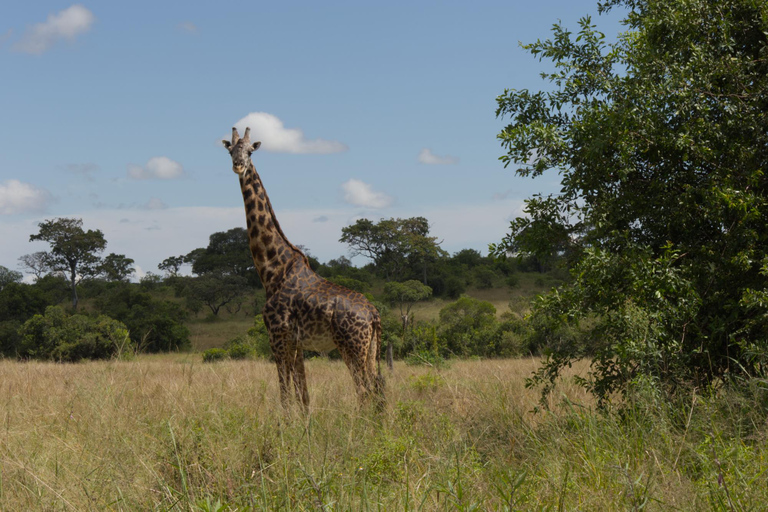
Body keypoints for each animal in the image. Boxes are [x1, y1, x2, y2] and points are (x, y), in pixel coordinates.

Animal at [224, 126, 384, 410]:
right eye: (230, 150)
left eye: (250, 151)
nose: (238, 165)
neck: (272, 270)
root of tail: (373, 314)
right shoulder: (296, 342)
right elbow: (303, 394)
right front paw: (306, 422)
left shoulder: (276, 335)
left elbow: (285, 394)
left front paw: (286, 422)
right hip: (370, 349)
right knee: (376, 390)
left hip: (352, 346)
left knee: (364, 391)